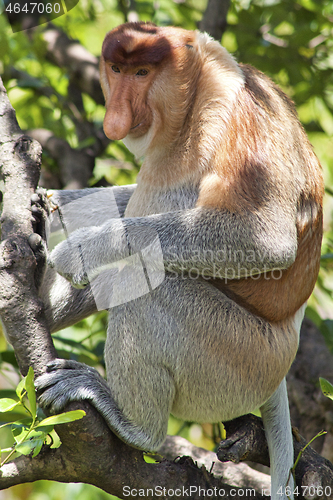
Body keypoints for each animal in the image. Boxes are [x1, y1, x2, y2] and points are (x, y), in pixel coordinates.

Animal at [33, 22, 322, 500]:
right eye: (116, 69)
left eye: (143, 72)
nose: (115, 117)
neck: (194, 98)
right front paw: (45, 207)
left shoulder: (239, 114)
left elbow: (263, 238)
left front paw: (80, 248)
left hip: (241, 360)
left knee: (150, 288)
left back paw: (132, 422)